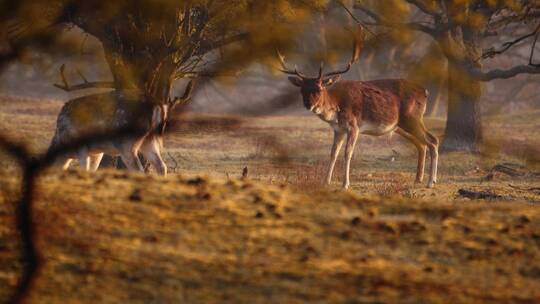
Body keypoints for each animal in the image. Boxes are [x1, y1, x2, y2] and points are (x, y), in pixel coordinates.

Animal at [278, 39, 438, 189]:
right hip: (400, 125)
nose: (308, 105)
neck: (336, 108)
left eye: (319, 88)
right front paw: (326, 181)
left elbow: (347, 153)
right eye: (302, 90)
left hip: (412, 118)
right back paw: (419, 179)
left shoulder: (354, 126)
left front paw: (345, 184)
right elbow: (333, 153)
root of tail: (425, 91)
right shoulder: (338, 129)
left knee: (432, 140)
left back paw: (431, 182)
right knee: (421, 144)